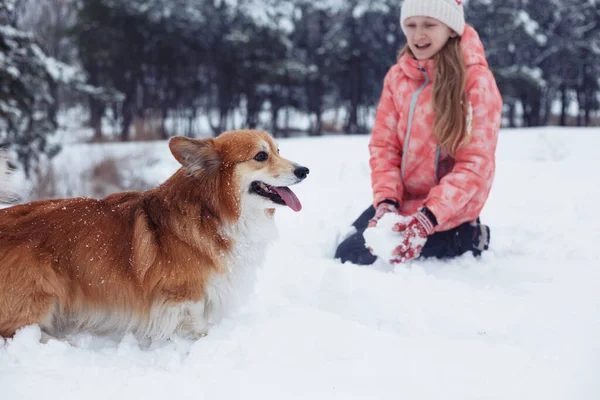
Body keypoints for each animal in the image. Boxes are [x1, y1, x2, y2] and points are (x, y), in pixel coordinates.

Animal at [0, 130, 310, 342]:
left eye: (278, 150)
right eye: (261, 156)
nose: (305, 170)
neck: (212, 212)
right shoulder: (184, 294)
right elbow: (194, 321)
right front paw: (204, 339)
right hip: (40, 297)